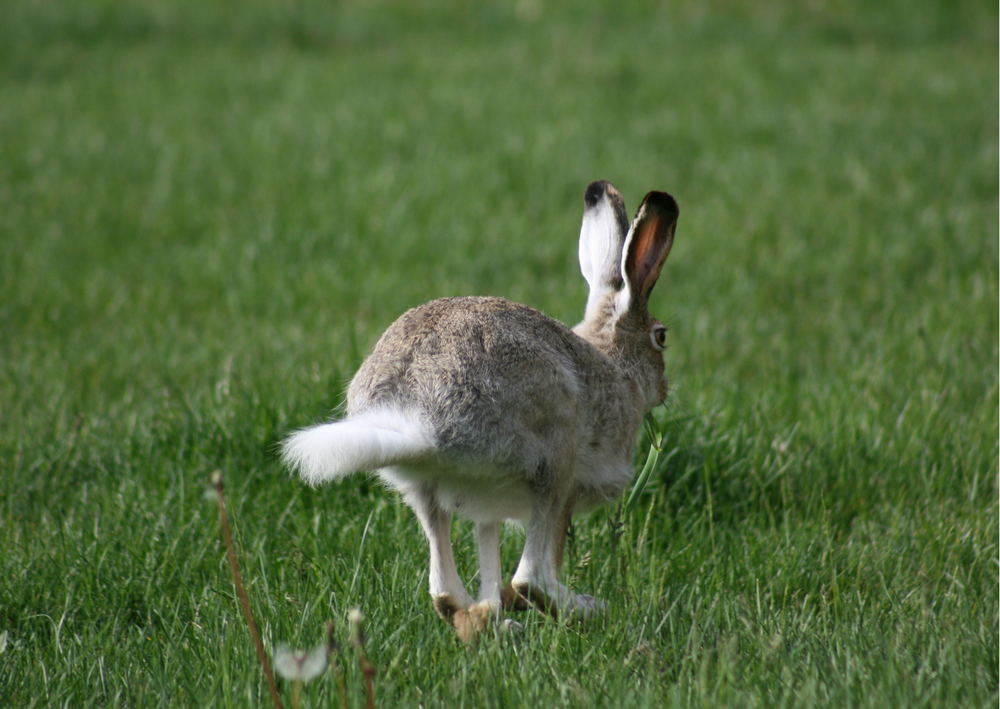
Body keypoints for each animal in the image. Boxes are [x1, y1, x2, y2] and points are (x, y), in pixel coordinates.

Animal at [282, 180, 676, 640]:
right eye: (661, 337)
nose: (663, 389)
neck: (613, 362)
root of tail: (427, 419)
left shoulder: (488, 505)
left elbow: (487, 553)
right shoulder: (565, 492)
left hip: (428, 490)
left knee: (444, 590)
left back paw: (497, 623)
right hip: (553, 459)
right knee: (531, 579)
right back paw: (588, 610)